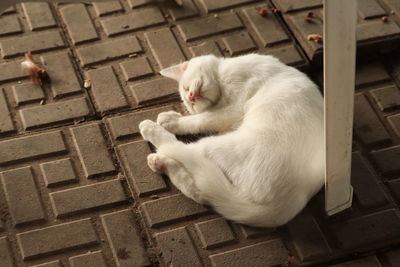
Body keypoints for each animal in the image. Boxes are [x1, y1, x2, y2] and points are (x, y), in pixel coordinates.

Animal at [139, 54, 324, 228]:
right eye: (188, 100)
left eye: (186, 88)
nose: (191, 97)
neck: (222, 73)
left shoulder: (234, 108)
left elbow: (201, 119)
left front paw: (172, 121)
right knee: (202, 191)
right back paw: (159, 162)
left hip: (217, 146)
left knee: (178, 150)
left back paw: (151, 130)